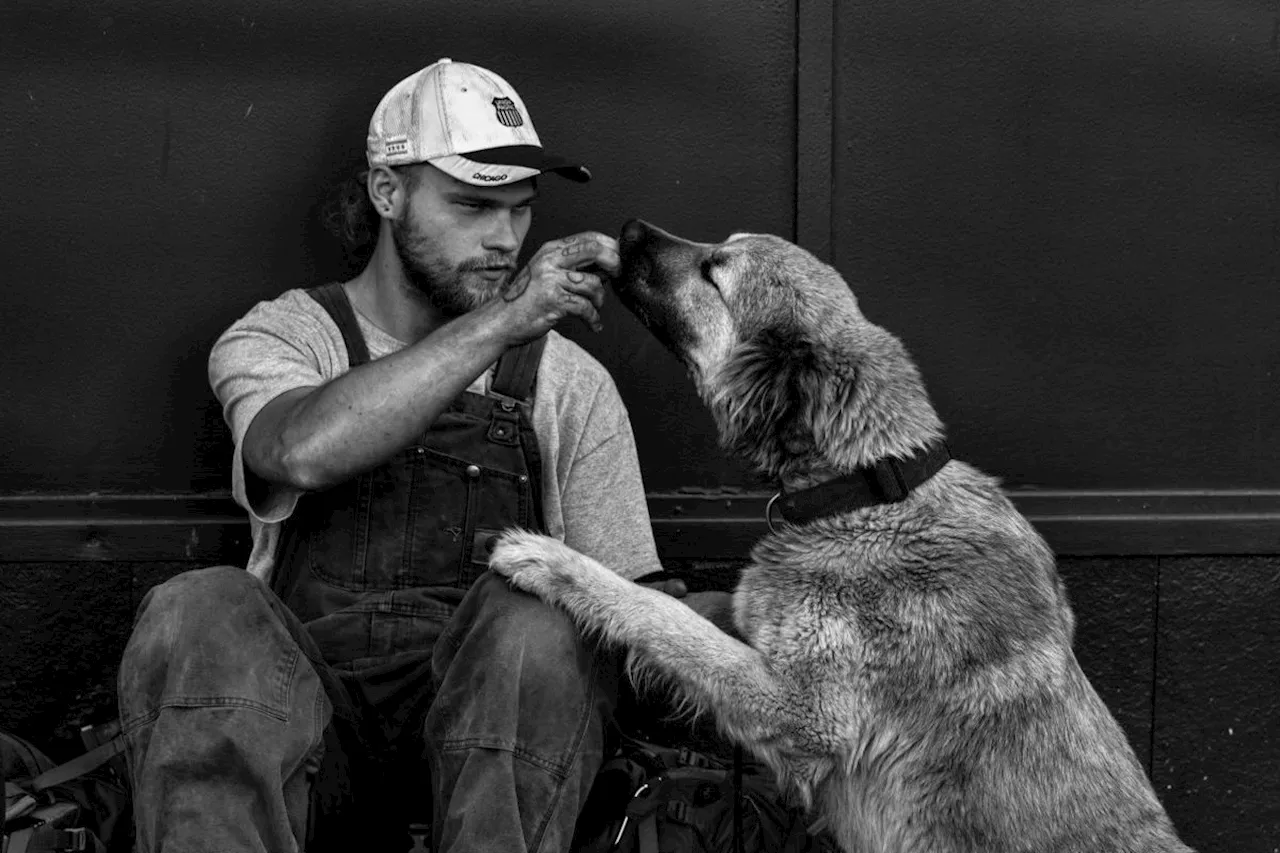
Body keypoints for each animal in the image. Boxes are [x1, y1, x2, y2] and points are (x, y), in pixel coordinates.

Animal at [486, 220, 1187, 850]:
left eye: (715, 271)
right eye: (718, 248)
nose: (629, 228)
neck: (867, 491)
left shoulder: (800, 710)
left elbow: (663, 618)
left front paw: (551, 560)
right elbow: (683, 606)